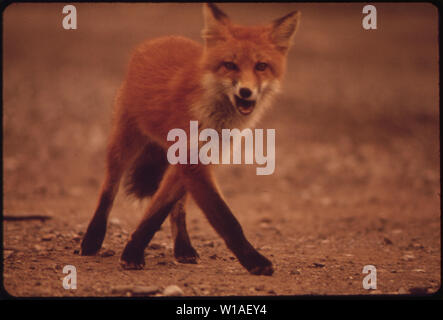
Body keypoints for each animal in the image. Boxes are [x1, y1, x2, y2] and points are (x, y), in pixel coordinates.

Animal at [81, 3, 300, 276]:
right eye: (230, 65)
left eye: (261, 66)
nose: (246, 92)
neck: (215, 118)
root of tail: (159, 39)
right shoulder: (191, 161)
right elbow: (226, 219)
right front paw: (254, 261)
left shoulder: (201, 159)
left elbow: (159, 210)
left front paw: (134, 250)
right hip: (124, 143)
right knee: (108, 190)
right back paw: (92, 238)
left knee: (179, 209)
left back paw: (183, 247)